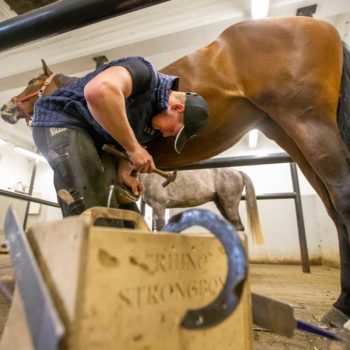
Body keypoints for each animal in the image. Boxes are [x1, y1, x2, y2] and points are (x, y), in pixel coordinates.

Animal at [0, 15, 350, 328]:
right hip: (287, 135)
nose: (7, 107)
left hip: (305, 120)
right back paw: (339, 307)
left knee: (341, 198)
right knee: (333, 211)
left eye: (32, 81)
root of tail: (321, 26)